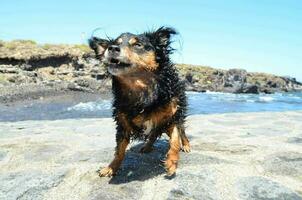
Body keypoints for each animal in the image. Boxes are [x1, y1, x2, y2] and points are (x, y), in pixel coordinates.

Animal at [88, 26, 190, 177]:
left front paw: (172, 163)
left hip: (179, 112)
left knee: (182, 131)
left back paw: (187, 145)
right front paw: (111, 167)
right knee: (152, 135)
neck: (142, 91)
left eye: (137, 45)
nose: (112, 48)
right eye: (116, 43)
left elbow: (175, 140)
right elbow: (119, 150)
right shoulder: (123, 124)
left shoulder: (172, 117)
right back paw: (147, 147)